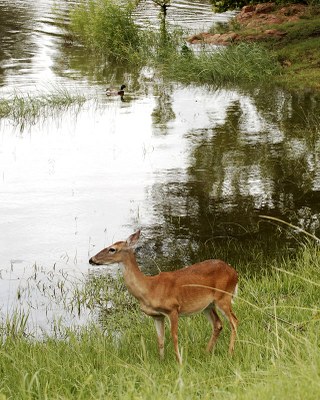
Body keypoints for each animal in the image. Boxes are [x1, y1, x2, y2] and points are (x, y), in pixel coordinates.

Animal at [89, 230, 239, 364]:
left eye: (112, 249)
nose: (91, 259)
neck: (149, 288)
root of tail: (235, 273)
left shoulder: (173, 308)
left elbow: (174, 336)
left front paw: (179, 362)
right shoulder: (157, 315)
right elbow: (160, 340)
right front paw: (161, 361)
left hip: (224, 297)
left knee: (234, 321)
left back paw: (230, 353)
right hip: (208, 305)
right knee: (218, 324)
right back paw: (206, 352)